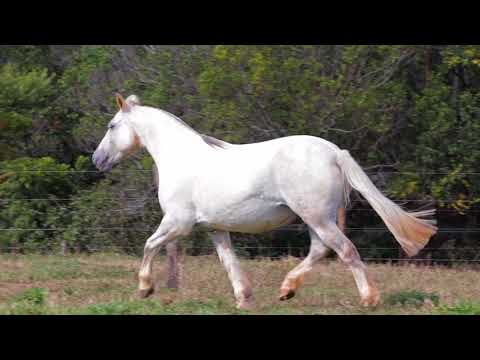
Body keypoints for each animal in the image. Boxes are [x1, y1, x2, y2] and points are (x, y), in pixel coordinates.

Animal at [92, 93, 436, 310]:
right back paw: (287, 290)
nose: (97, 160)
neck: (181, 157)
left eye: (111, 126)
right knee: (321, 250)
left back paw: (368, 299)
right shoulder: (214, 228)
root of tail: (334, 153)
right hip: (314, 218)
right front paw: (243, 299)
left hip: (317, 217)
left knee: (346, 251)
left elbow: (149, 244)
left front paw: (145, 288)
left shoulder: (178, 223)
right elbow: (229, 262)